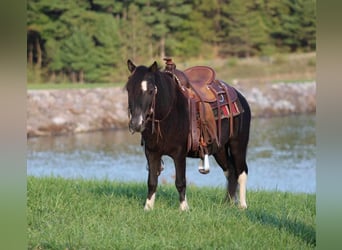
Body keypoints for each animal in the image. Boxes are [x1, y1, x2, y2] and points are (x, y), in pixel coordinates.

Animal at [124, 60, 250, 211]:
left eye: (151, 90)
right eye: (128, 89)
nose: (136, 123)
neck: (169, 113)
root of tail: (240, 97)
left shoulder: (179, 154)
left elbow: (180, 181)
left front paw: (184, 208)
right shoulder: (151, 153)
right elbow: (152, 182)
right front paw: (148, 208)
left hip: (238, 144)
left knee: (241, 172)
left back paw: (242, 205)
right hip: (219, 149)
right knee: (230, 171)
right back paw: (229, 202)